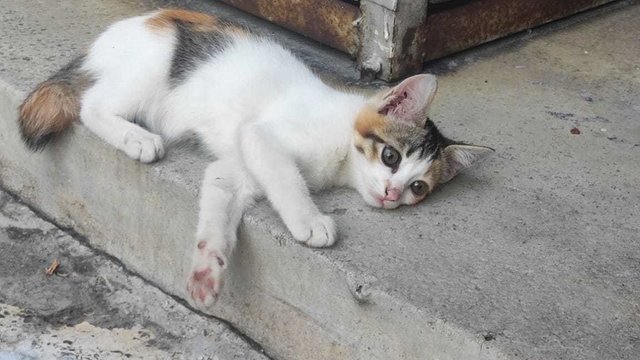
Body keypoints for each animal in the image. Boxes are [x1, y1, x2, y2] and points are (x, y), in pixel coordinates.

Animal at [16, 8, 496, 306]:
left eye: (418, 187)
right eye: (391, 156)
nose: (392, 194)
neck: (341, 150)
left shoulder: (233, 168)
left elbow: (217, 212)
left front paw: (207, 271)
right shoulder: (260, 135)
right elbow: (287, 179)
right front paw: (310, 221)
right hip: (152, 68)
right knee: (90, 105)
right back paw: (135, 138)